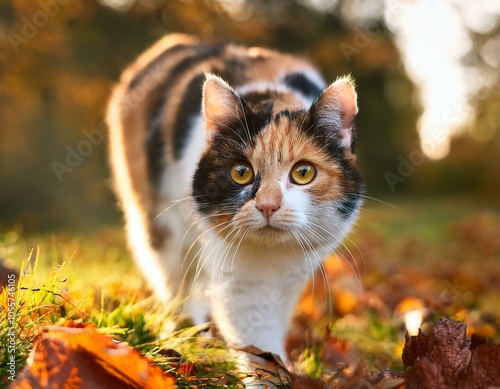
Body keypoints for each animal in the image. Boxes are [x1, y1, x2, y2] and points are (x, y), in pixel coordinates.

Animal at [106, 34, 364, 360]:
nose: (268, 205)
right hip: (160, 223)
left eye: (303, 173)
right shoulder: (237, 272)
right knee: (173, 277)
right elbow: (255, 336)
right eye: (241, 172)